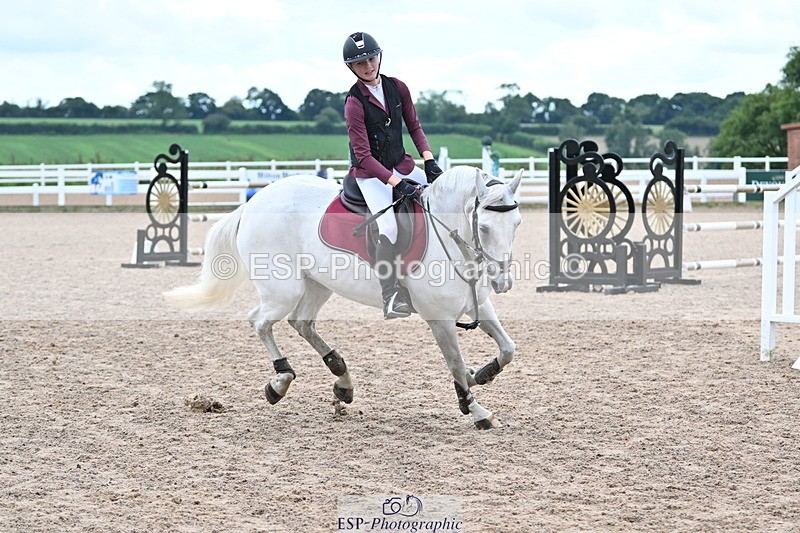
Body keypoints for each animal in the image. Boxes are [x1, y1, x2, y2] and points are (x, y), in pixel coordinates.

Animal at [163, 165, 523, 429]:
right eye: (485, 227)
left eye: (517, 223)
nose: (502, 281)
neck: (450, 241)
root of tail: (252, 203)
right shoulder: (440, 320)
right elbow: (456, 365)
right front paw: (476, 409)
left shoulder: (478, 305)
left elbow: (508, 349)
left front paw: (482, 374)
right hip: (284, 288)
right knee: (261, 321)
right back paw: (280, 381)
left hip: (318, 285)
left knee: (302, 323)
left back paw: (342, 380)